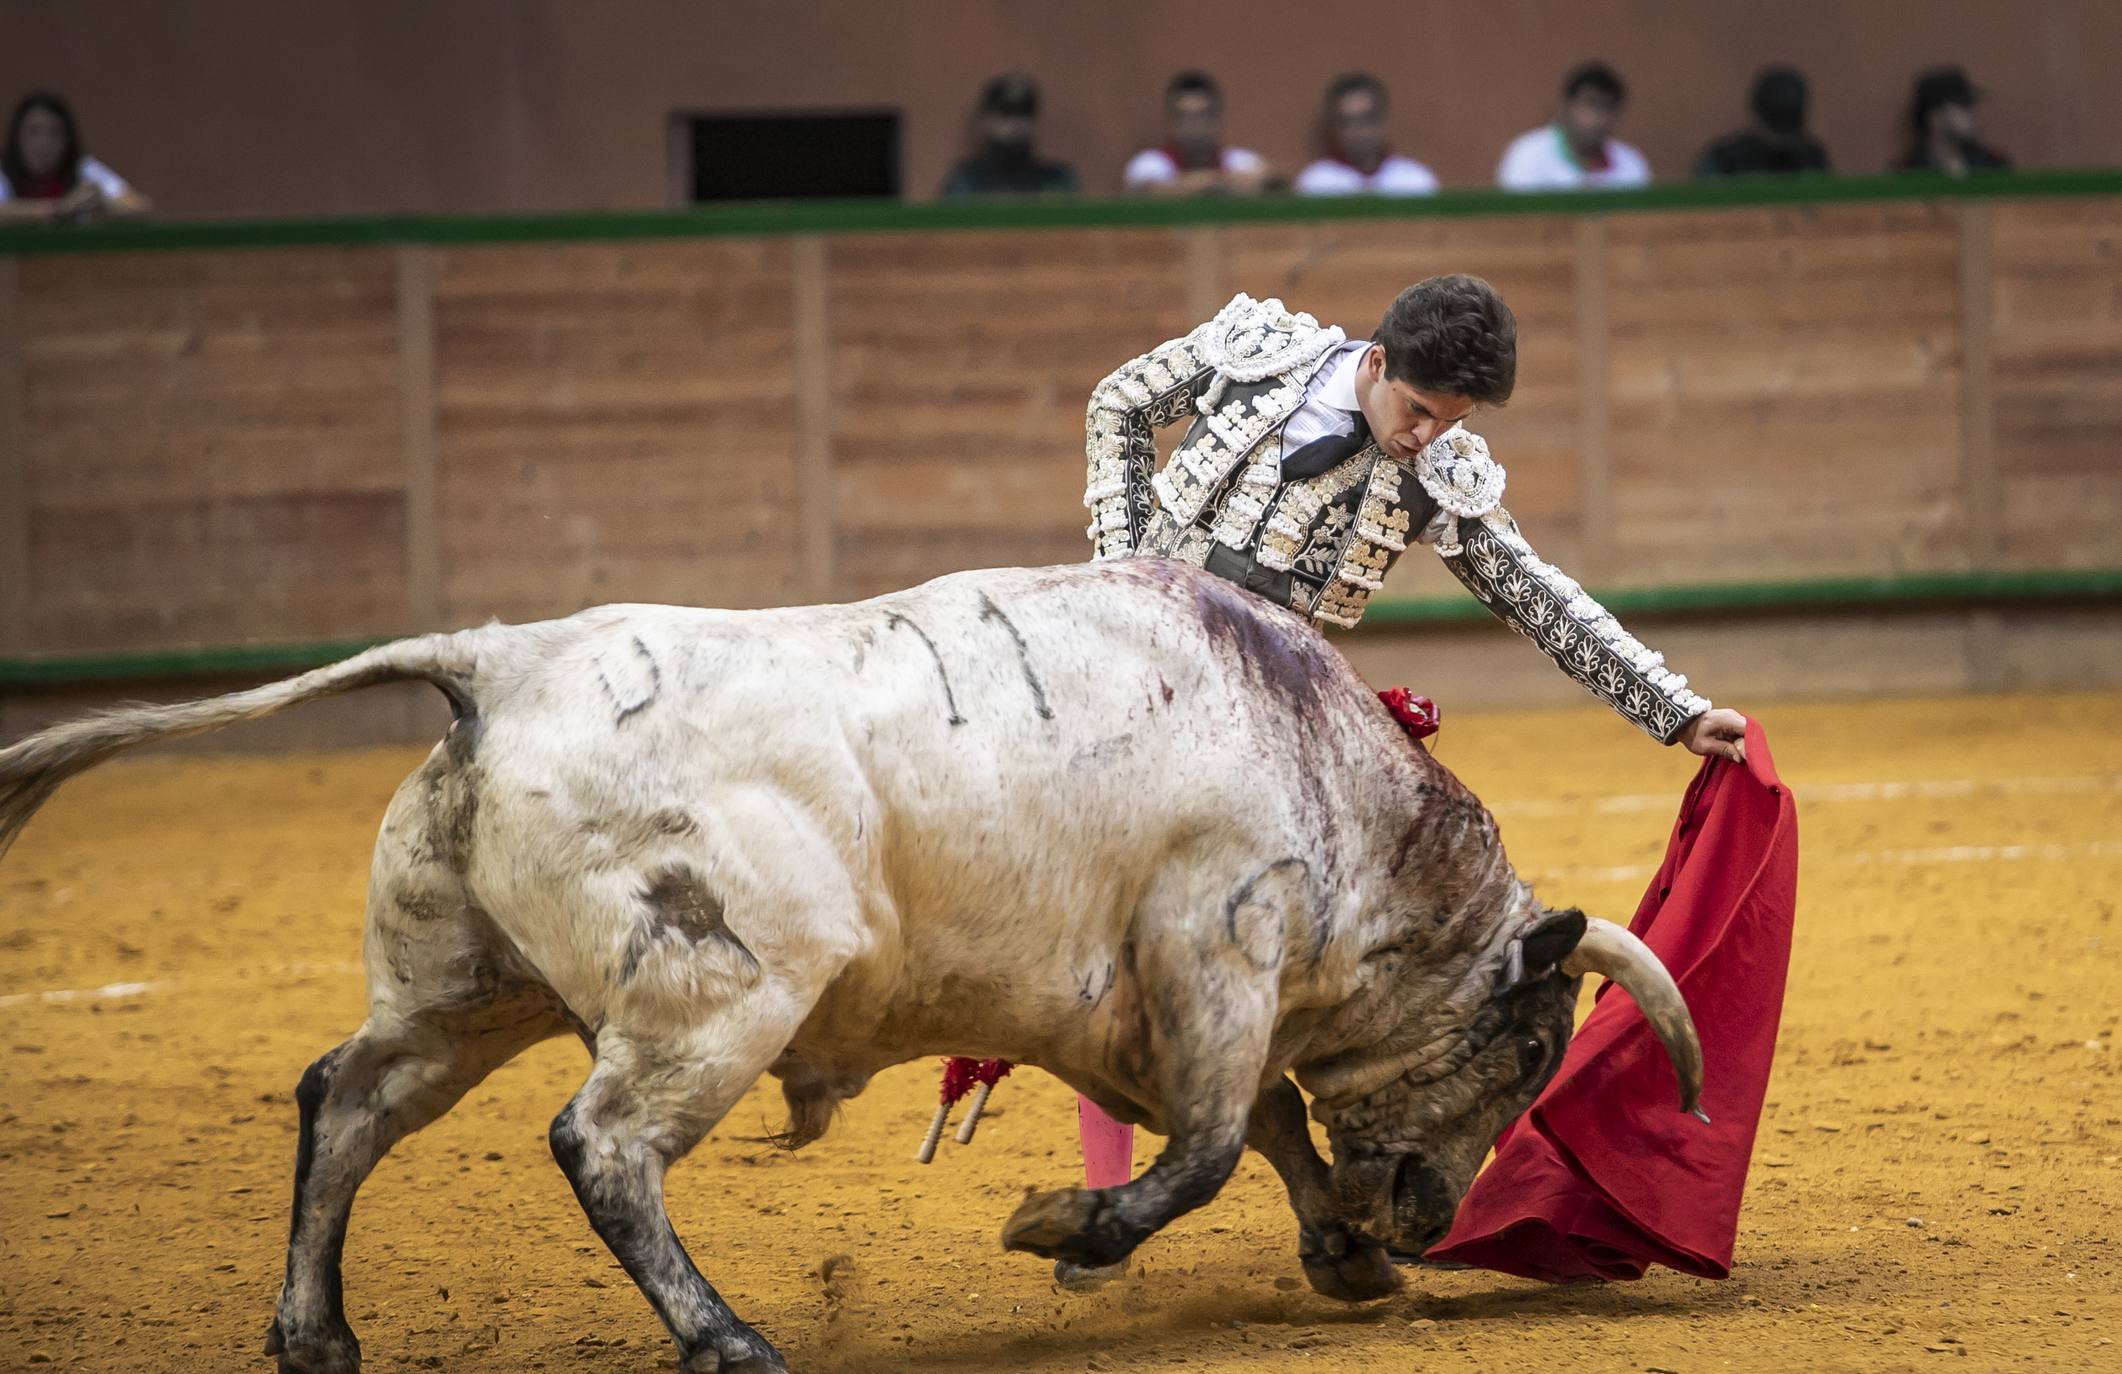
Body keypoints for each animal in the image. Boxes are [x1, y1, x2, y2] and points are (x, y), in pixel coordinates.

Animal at [0, 559, 1706, 1374]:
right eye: (1528, 1049)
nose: (1425, 1215)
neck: (1324, 772)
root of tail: (500, 660)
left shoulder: (1108, 1006)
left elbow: (1261, 1126)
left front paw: (1339, 1259)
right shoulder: (1215, 936)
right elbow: (1218, 1139)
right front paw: (1061, 1227)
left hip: (459, 991)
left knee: (346, 1096)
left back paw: (317, 1333)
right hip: (722, 987)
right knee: (601, 1142)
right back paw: (725, 1336)